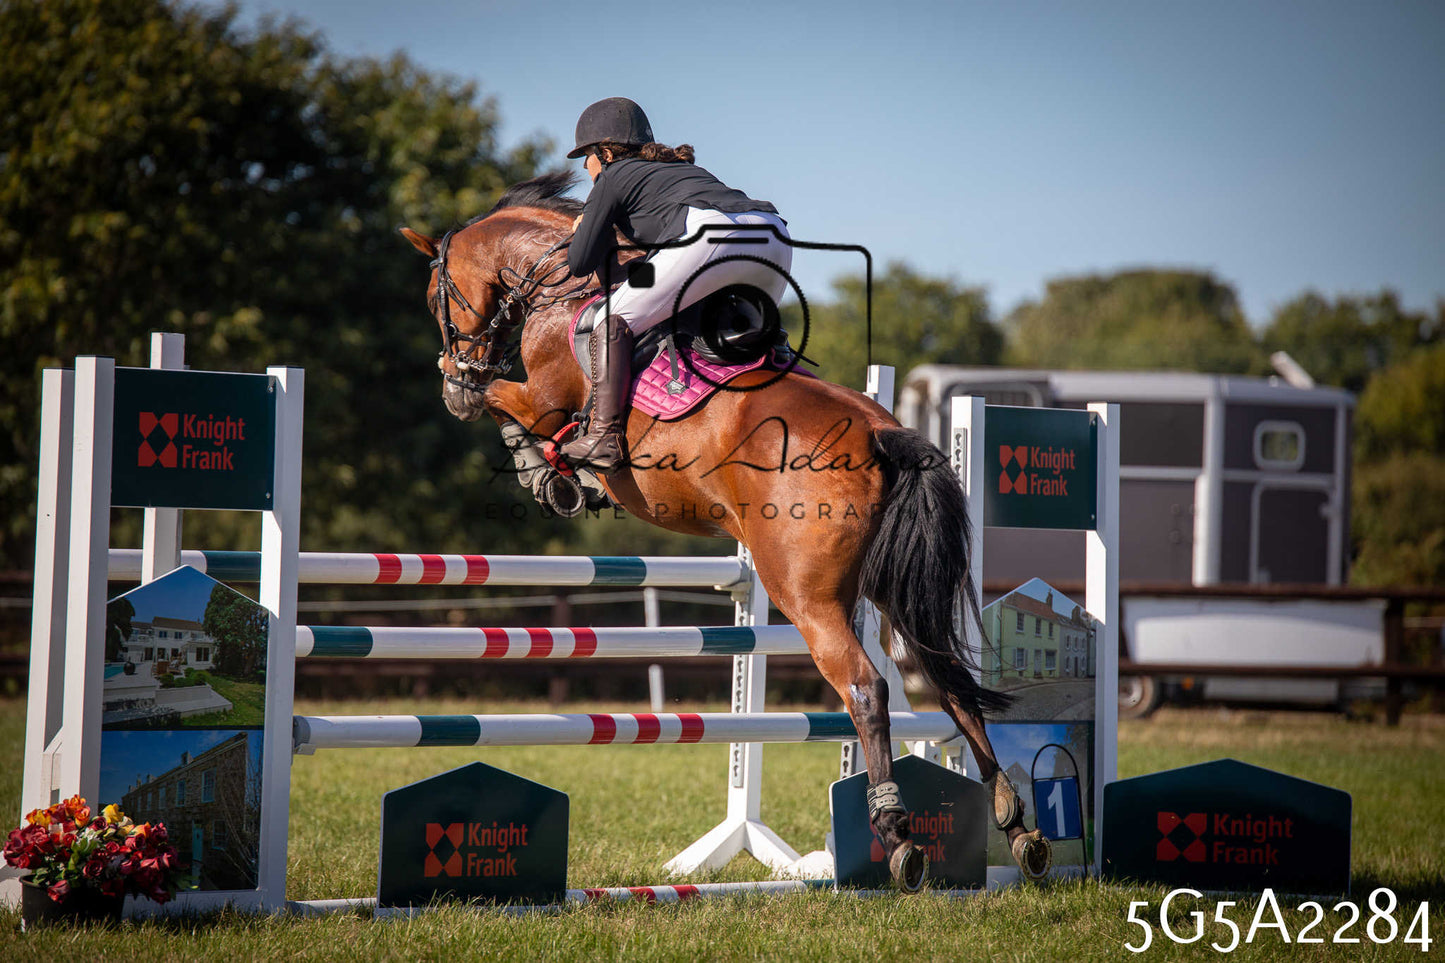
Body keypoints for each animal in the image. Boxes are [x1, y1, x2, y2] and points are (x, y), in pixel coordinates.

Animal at [399, 171, 1052, 889]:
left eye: (434, 298)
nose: (452, 377)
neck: (558, 288)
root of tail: (882, 431)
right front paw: (553, 469)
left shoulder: (540, 399)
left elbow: (505, 406)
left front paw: (545, 468)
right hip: (893, 587)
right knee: (950, 680)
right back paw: (1016, 825)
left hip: (807, 595)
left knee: (866, 687)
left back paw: (897, 833)